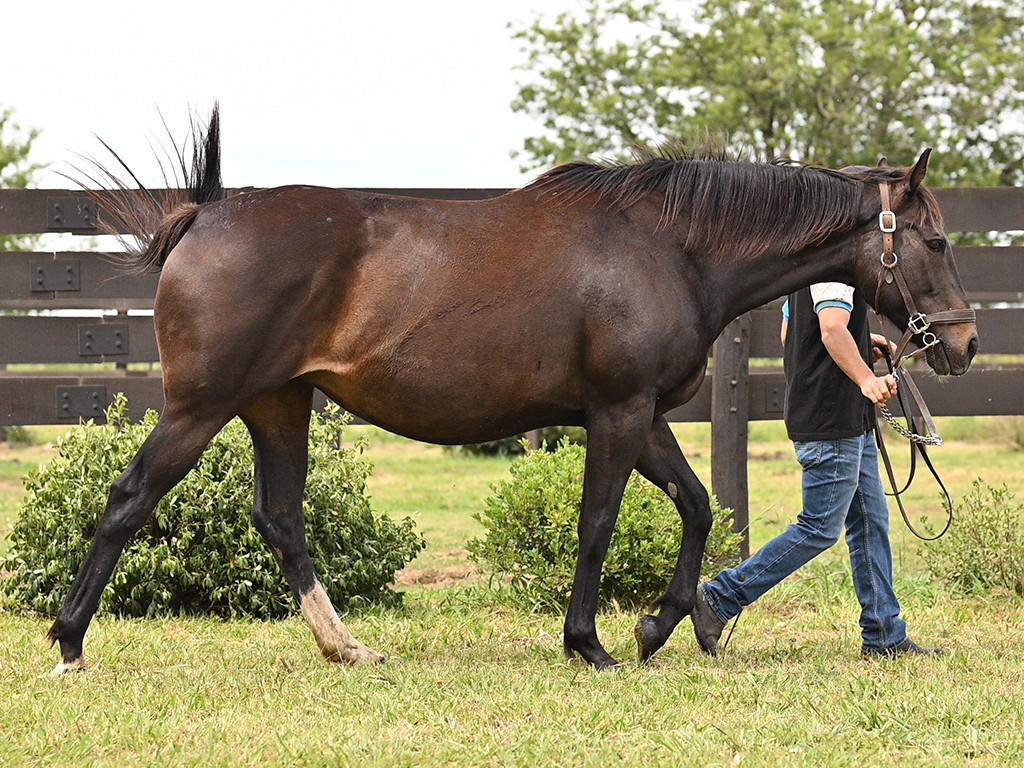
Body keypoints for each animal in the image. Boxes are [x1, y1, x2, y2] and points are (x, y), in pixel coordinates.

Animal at [47, 105, 978, 674]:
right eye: (934, 240)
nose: (964, 343)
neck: (671, 249)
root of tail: (203, 215)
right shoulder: (617, 413)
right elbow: (598, 524)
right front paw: (590, 643)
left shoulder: (644, 417)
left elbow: (697, 506)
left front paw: (663, 624)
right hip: (200, 408)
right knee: (129, 499)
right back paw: (67, 641)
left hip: (278, 405)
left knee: (280, 519)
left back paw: (348, 648)